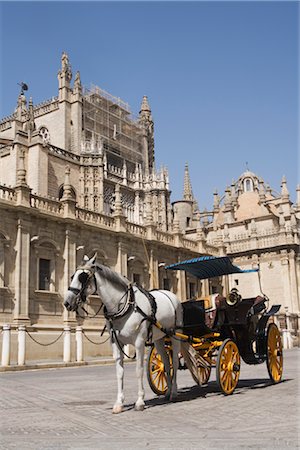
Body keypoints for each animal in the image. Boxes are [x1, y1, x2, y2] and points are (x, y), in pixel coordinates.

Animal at [64, 255, 182, 414]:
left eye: (82, 277)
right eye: (72, 276)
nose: (67, 302)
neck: (126, 305)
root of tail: (171, 295)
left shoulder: (139, 342)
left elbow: (139, 370)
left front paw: (140, 401)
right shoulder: (116, 343)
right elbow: (119, 372)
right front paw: (119, 403)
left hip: (176, 335)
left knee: (174, 362)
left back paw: (174, 392)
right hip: (159, 339)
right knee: (166, 364)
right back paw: (168, 392)